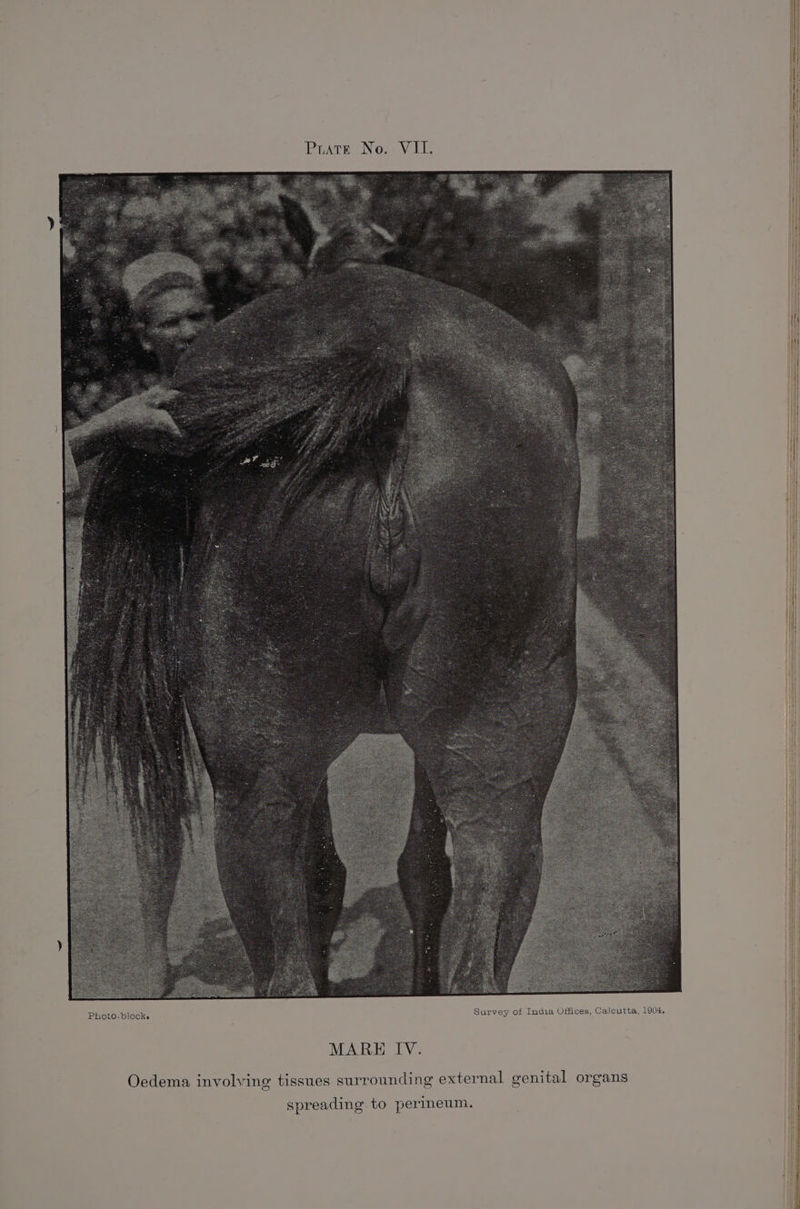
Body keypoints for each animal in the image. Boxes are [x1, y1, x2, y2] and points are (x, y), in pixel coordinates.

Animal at [71, 198, 579, 997]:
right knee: (480, 952)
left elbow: (332, 874)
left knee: (285, 968)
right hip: (506, 767)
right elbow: (421, 869)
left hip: (253, 790)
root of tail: (385, 353)